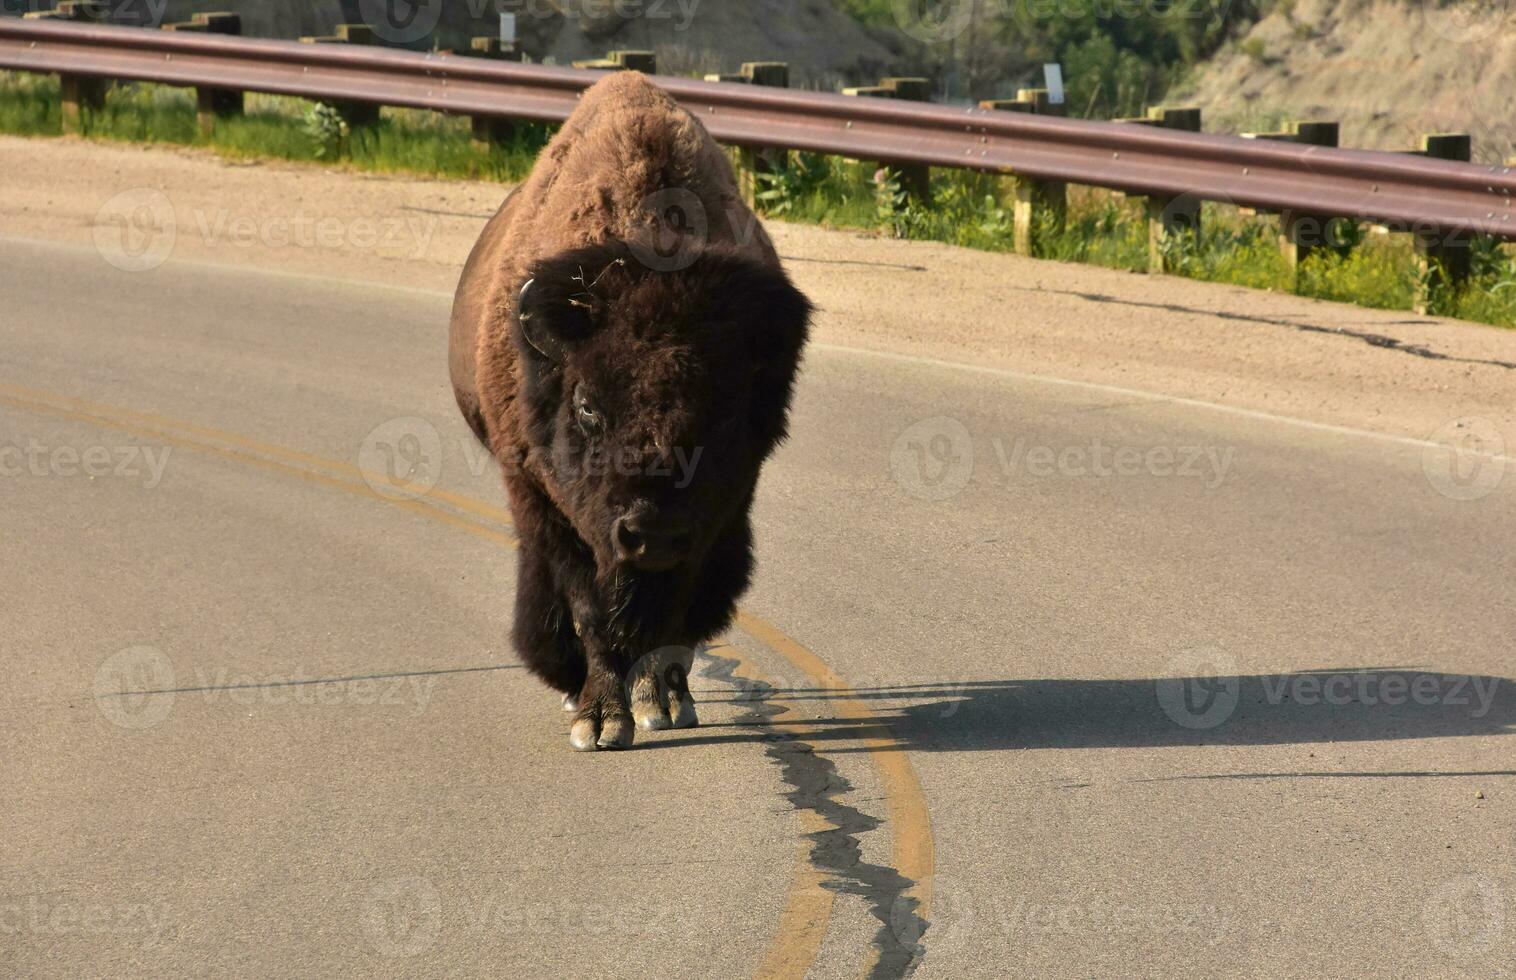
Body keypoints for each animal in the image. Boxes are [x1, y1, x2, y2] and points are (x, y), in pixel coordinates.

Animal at [442, 74, 812, 752]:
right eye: (587, 406)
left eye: (725, 413)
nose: (651, 531)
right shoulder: (548, 503)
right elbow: (592, 609)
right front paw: (600, 719)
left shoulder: (716, 519)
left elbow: (668, 618)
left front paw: (657, 702)